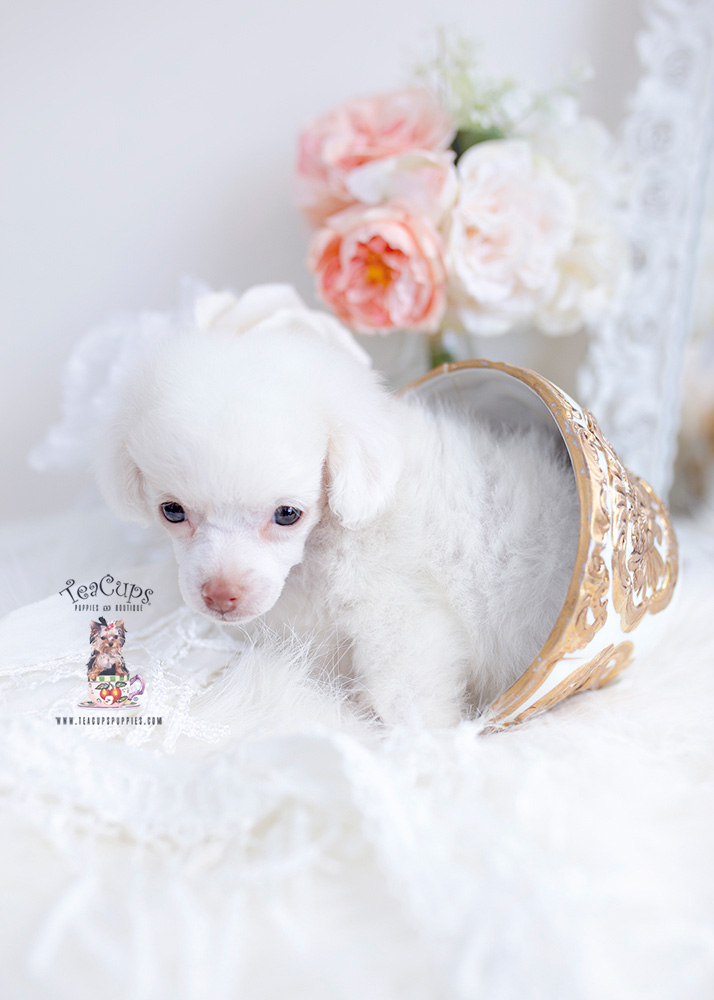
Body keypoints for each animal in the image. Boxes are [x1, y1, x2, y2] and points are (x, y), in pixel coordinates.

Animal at [97, 286, 580, 724]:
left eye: (287, 515)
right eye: (172, 511)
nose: (219, 595)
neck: (323, 549)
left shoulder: (401, 616)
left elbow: (410, 697)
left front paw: (423, 744)